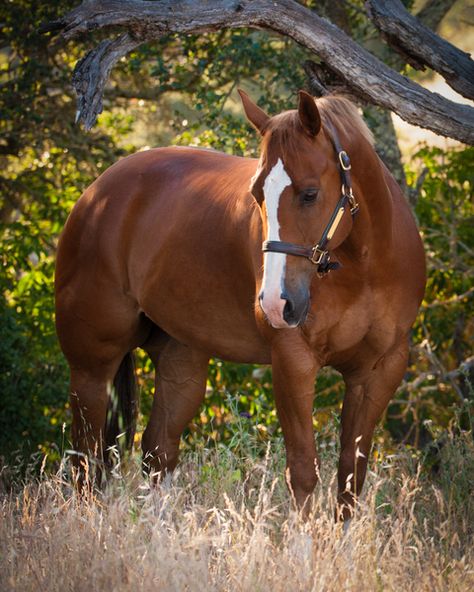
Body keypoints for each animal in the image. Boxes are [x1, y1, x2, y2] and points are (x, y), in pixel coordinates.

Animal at [55, 90, 426, 520]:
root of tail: (95, 194)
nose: (275, 303)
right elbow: (303, 472)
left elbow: (351, 478)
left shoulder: (378, 371)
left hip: (181, 362)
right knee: (86, 457)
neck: (364, 267)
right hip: (92, 367)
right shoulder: (294, 362)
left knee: (157, 451)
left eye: (310, 193)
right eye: (257, 195)